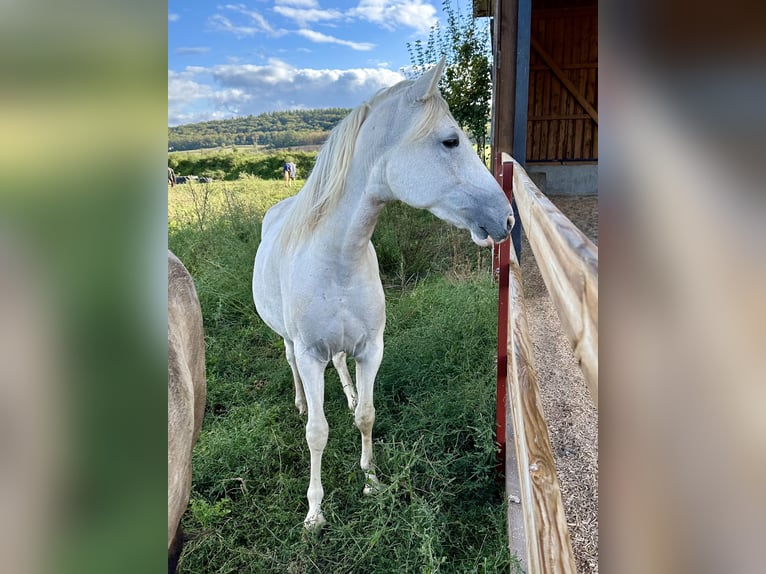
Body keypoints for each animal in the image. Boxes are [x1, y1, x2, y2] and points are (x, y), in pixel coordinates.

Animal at [254, 59, 516, 532]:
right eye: (450, 140)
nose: (505, 218)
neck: (338, 259)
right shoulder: (311, 354)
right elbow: (317, 432)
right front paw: (315, 512)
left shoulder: (370, 349)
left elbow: (366, 416)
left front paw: (372, 481)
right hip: (289, 342)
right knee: (292, 368)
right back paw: (300, 402)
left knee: (342, 369)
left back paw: (349, 395)